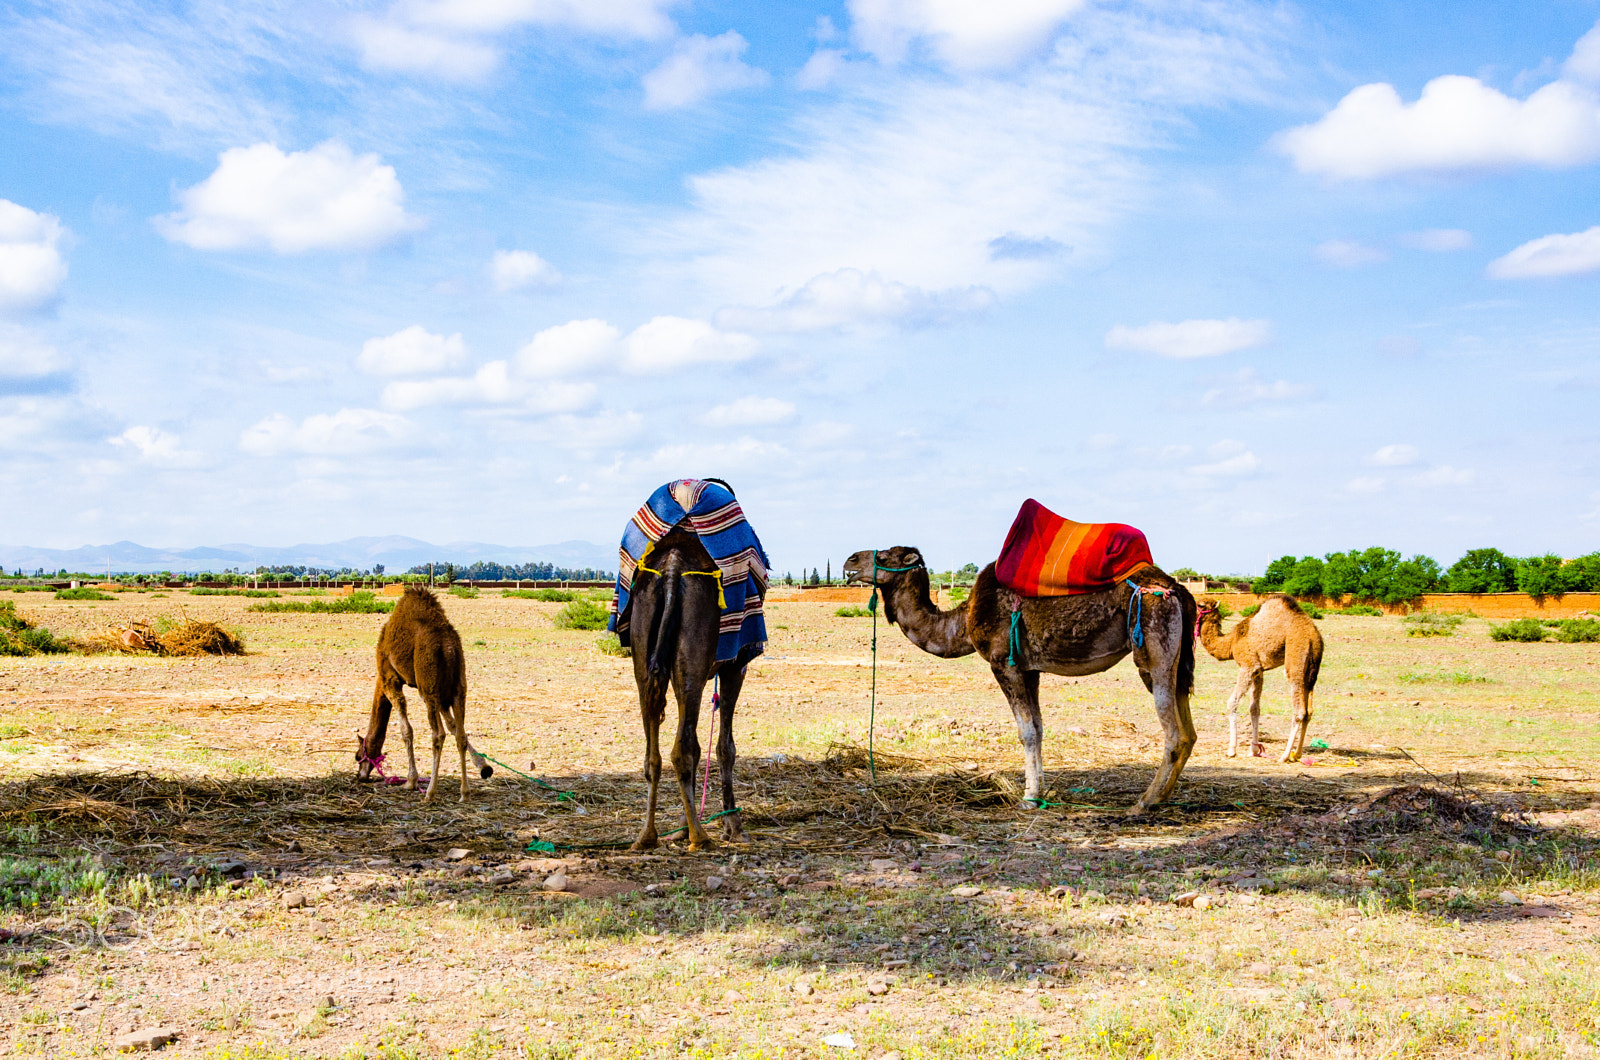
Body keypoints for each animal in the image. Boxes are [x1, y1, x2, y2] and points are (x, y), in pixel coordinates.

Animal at [356, 585, 492, 803]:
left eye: (358, 756)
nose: (360, 775)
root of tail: (448, 648)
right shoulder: (442, 694)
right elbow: (454, 726)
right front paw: (484, 767)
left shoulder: (390, 679)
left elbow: (406, 730)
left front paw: (410, 782)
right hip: (458, 687)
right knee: (460, 734)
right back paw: (464, 793)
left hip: (428, 686)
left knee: (438, 734)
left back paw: (429, 793)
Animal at [623, 527, 746, 851]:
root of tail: (672, 570)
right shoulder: (736, 665)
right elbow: (724, 746)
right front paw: (733, 826)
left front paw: (682, 824)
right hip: (694, 659)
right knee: (682, 749)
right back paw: (699, 837)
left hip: (644, 655)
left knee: (654, 753)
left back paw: (647, 836)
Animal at [844, 547, 1198, 813]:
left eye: (885, 555)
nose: (849, 561)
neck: (963, 621)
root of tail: (1176, 589)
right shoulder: (1030, 669)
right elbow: (1038, 729)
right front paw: (1041, 792)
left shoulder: (1005, 663)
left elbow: (1025, 731)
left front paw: (1028, 798)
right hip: (1180, 660)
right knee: (1190, 730)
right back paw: (1162, 797)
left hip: (1154, 642)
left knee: (1174, 731)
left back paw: (1145, 802)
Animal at [1194, 594, 1324, 762]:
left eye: (1201, 605)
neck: (1232, 642)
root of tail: (1313, 636)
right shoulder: (1259, 670)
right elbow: (1254, 708)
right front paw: (1254, 750)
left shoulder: (1248, 665)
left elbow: (1232, 702)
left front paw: (1231, 750)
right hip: (1312, 671)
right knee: (1309, 712)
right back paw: (1297, 754)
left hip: (1296, 660)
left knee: (1300, 711)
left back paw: (1284, 755)